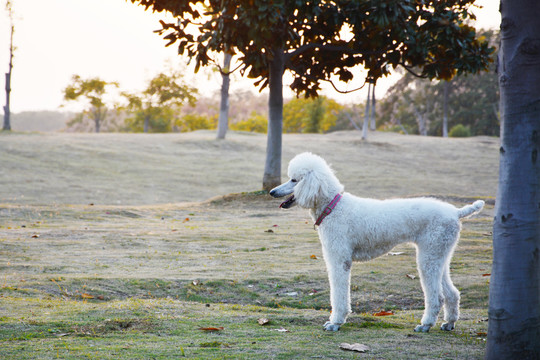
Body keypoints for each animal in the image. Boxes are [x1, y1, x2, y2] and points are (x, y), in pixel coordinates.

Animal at [270, 152, 486, 332]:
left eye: (294, 180)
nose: (272, 192)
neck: (333, 207)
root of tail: (456, 212)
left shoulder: (339, 259)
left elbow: (339, 293)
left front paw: (335, 322)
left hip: (429, 255)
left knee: (437, 296)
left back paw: (425, 324)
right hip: (439, 253)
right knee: (452, 293)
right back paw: (449, 323)